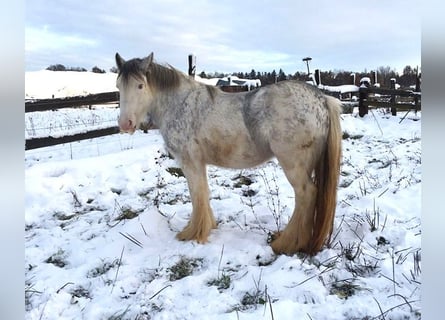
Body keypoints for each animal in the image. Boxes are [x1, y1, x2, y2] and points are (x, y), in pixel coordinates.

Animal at [113, 52, 340, 255]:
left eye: (140, 85)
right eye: (118, 86)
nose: (125, 124)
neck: (179, 104)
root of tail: (321, 99)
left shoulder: (189, 162)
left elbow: (197, 195)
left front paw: (192, 233)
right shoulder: (199, 163)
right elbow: (203, 193)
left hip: (293, 165)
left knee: (306, 195)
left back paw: (287, 243)